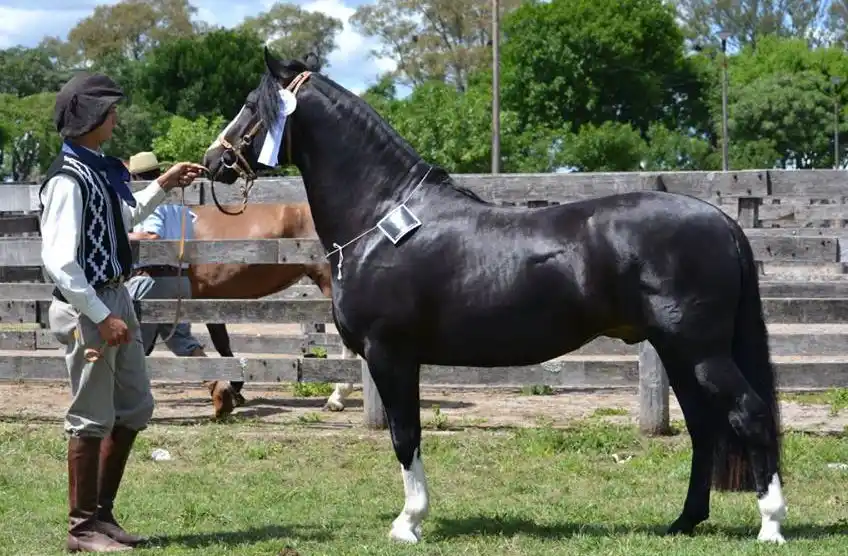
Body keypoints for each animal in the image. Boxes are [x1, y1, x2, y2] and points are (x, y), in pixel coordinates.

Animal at [200, 48, 787, 545]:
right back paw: (684, 521)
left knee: (751, 414)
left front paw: (408, 523)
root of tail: (722, 221)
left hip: (700, 351)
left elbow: (405, 435)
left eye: (251, 106)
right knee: (706, 429)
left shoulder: (391, 355)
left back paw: (771, 526)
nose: (212, 161)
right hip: (678, 352)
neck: (381, 217)